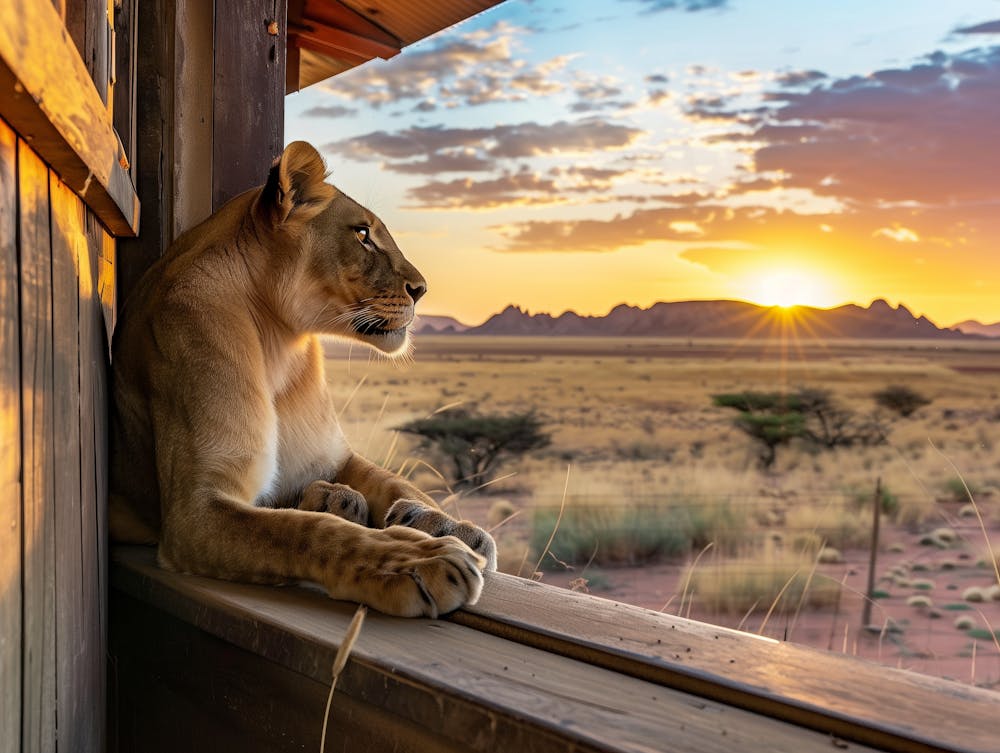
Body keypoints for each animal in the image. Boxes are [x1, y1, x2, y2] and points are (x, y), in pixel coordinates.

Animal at [109, 141, 496, 618]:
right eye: (362, 234)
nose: (422, 289)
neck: (280, 343)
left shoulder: (332, 457)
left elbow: (394, 481)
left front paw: (449, 524)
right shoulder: (195, 512)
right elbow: (305, 532)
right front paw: (417, 559)